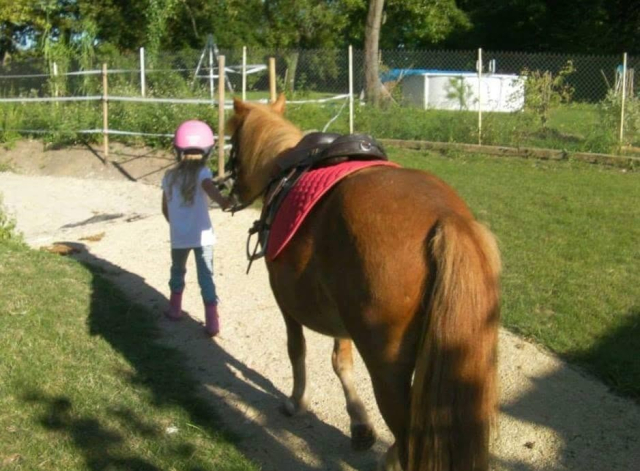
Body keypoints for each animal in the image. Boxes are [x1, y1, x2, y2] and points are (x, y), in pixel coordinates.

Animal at [225, 94, 501, 471]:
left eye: (232, 143)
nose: (231, 190)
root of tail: (447, 218)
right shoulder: (339, 313)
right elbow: (341, 361)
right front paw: (359, 423)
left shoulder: (284, 300)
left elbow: (297, 350)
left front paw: (297, 402)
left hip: (388, 370)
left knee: (406, 436)